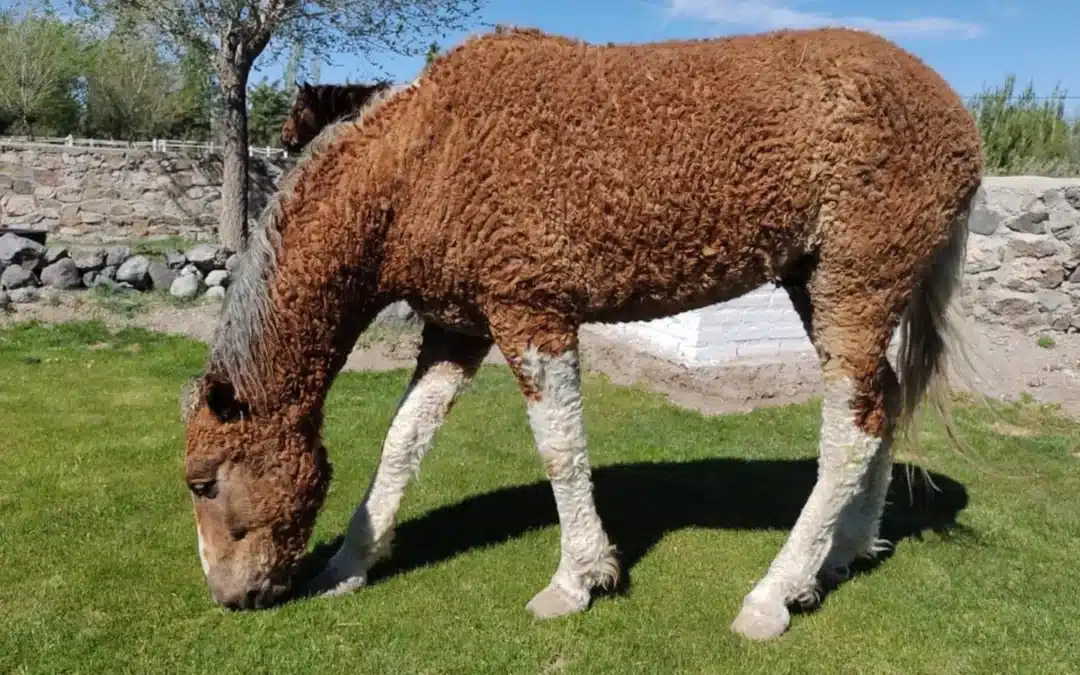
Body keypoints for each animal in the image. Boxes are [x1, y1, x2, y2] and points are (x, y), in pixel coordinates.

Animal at [180, 25, 984, 641]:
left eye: (203, 482)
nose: (227, 595)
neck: (424, 160)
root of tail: (959, 118)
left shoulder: (532, 315)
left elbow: (560, 448)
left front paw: (578, 578)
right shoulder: (455, 331)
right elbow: (403, 439)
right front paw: (351, 561)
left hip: (855, 282)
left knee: (850, 427)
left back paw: (775, 593)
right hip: (816, 284)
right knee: (881, 405)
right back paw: (844, 550)